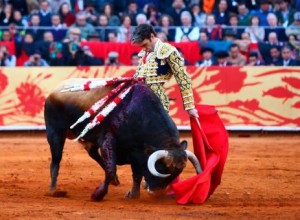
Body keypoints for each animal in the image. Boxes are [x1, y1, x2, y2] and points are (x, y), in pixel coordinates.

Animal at [44, 79, 199, 201]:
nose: (156, 193)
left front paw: (133, 194)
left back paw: (115, 181)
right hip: (55, 133)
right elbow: (111, 168)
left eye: (177, 173)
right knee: (56, 160)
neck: (138, 114)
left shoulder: (137, 152)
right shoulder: (108, 141)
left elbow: (137, 173)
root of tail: (54, 90)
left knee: (92, 152)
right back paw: (53, 190)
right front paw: (97, 195)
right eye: (160, 167)